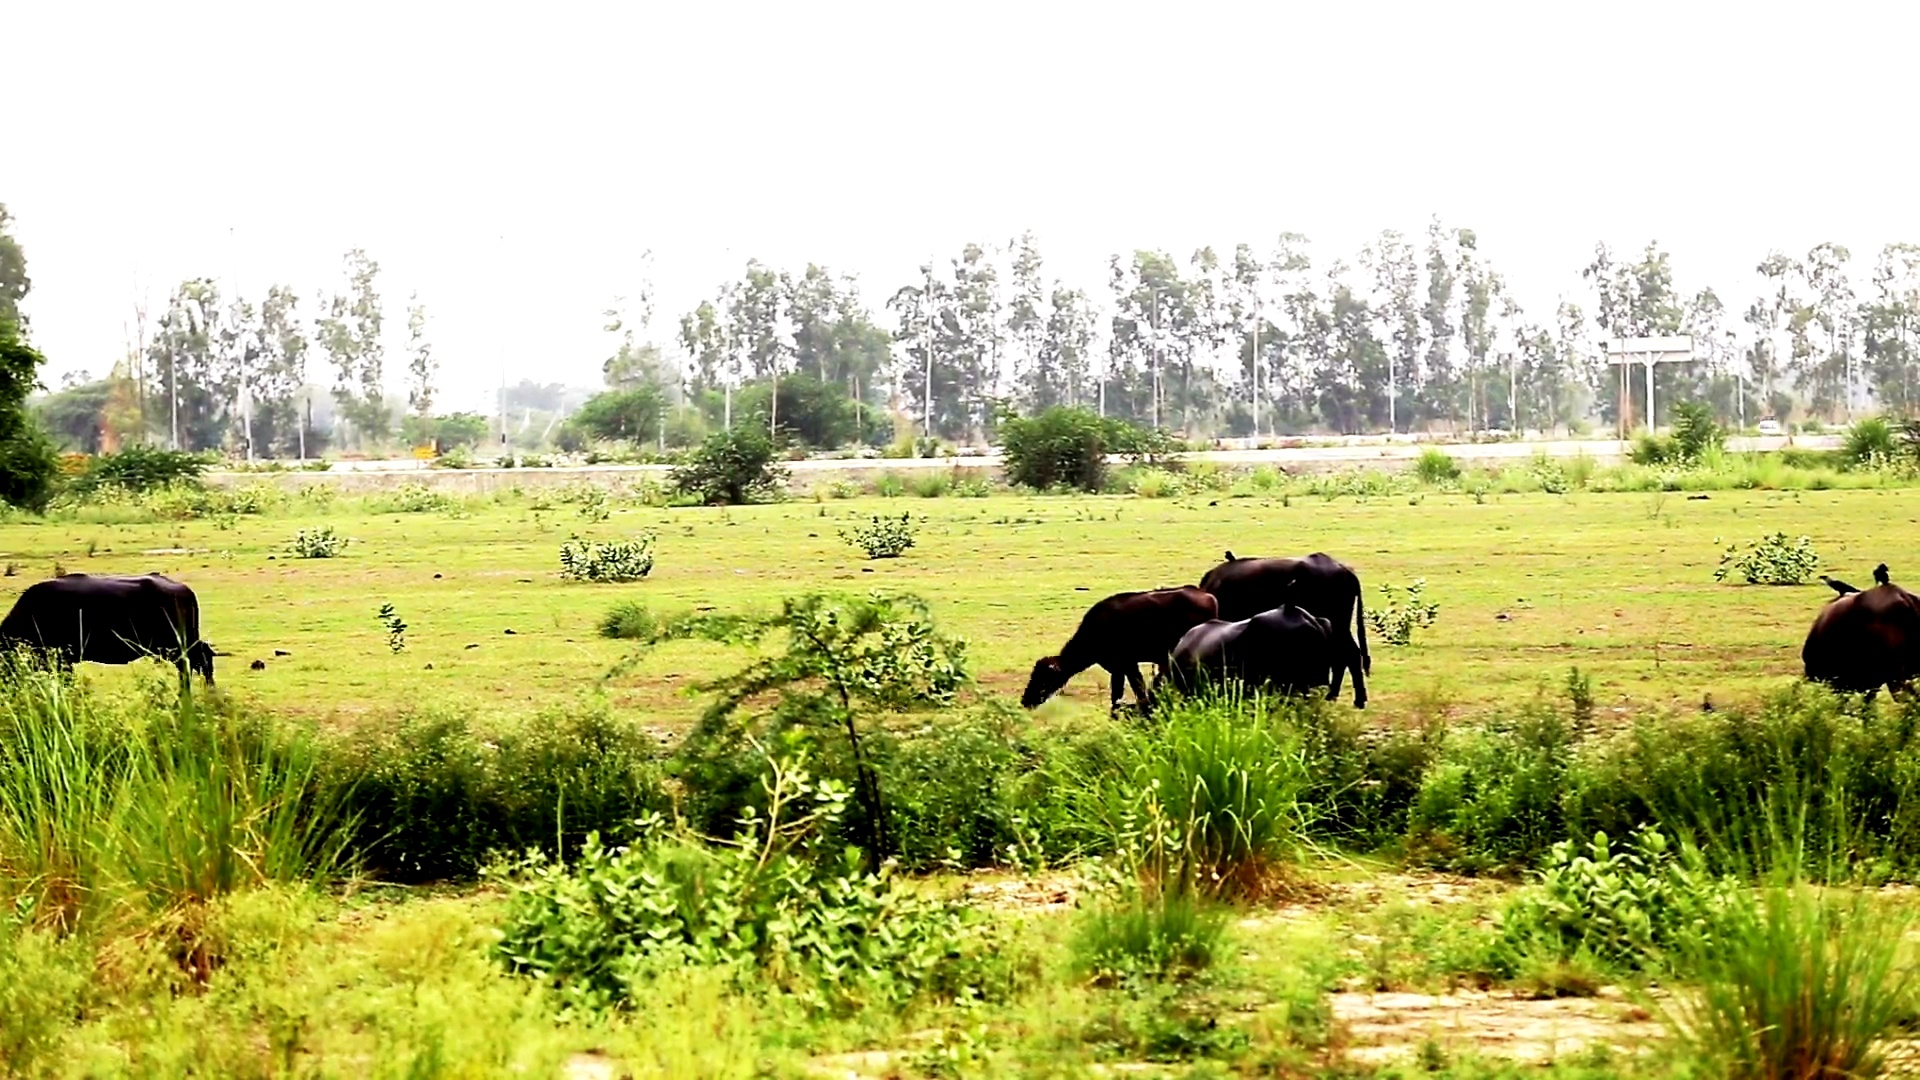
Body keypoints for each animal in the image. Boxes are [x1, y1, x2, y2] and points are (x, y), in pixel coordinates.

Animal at [1021, 584, 1213, 711]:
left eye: (1044, 678)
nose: (1025, 700)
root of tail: (1206, 595)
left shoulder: (1127, 665)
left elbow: (1137, 692)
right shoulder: (1118, 669)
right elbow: (1117, 696)